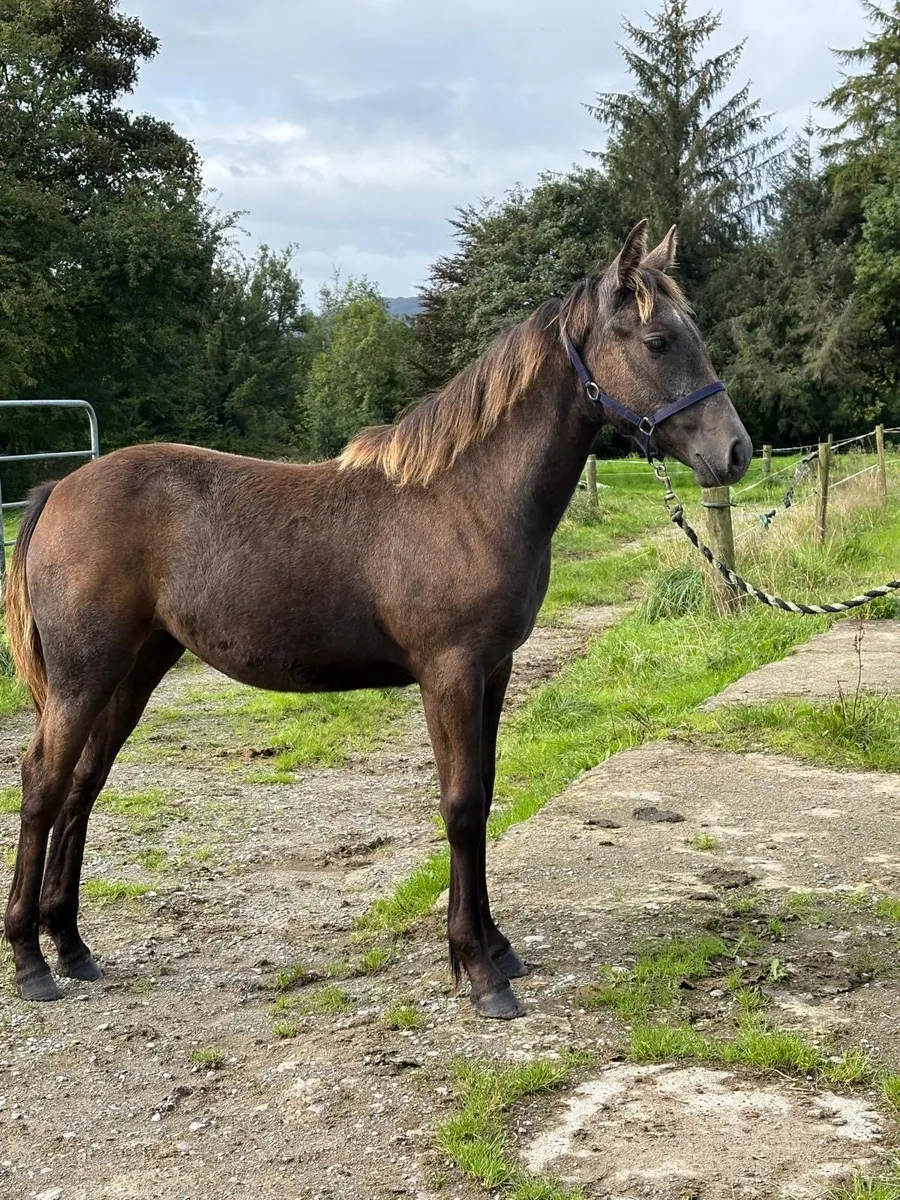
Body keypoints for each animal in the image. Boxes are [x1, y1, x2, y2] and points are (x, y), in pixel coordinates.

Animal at [5, 220, 751, 1018]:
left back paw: (71, 944)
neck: (467, 498)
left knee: (83, 784)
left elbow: (486, 792)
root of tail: (59, 487)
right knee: (43, 782)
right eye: (658, 341)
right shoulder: (449, 674)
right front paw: (477, 971)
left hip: (134, 670)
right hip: (86, 677)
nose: (734, 451)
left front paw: (496, 947)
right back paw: (30, 960)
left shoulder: (494, 670)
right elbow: (461, 806)